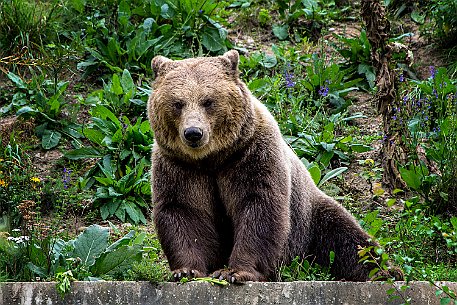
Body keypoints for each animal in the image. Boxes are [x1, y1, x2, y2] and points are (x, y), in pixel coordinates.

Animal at [149, 50, 382, 282]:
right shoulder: (178, 166)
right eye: (178, 103)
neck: (213, 158)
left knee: (349, 240)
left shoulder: (252, 155)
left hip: (310, 219)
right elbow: (183, 211)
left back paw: (378, 271)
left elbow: (260, 206)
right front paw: (186, 270)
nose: (193, 133)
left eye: (208, 101)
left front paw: (234, 272)